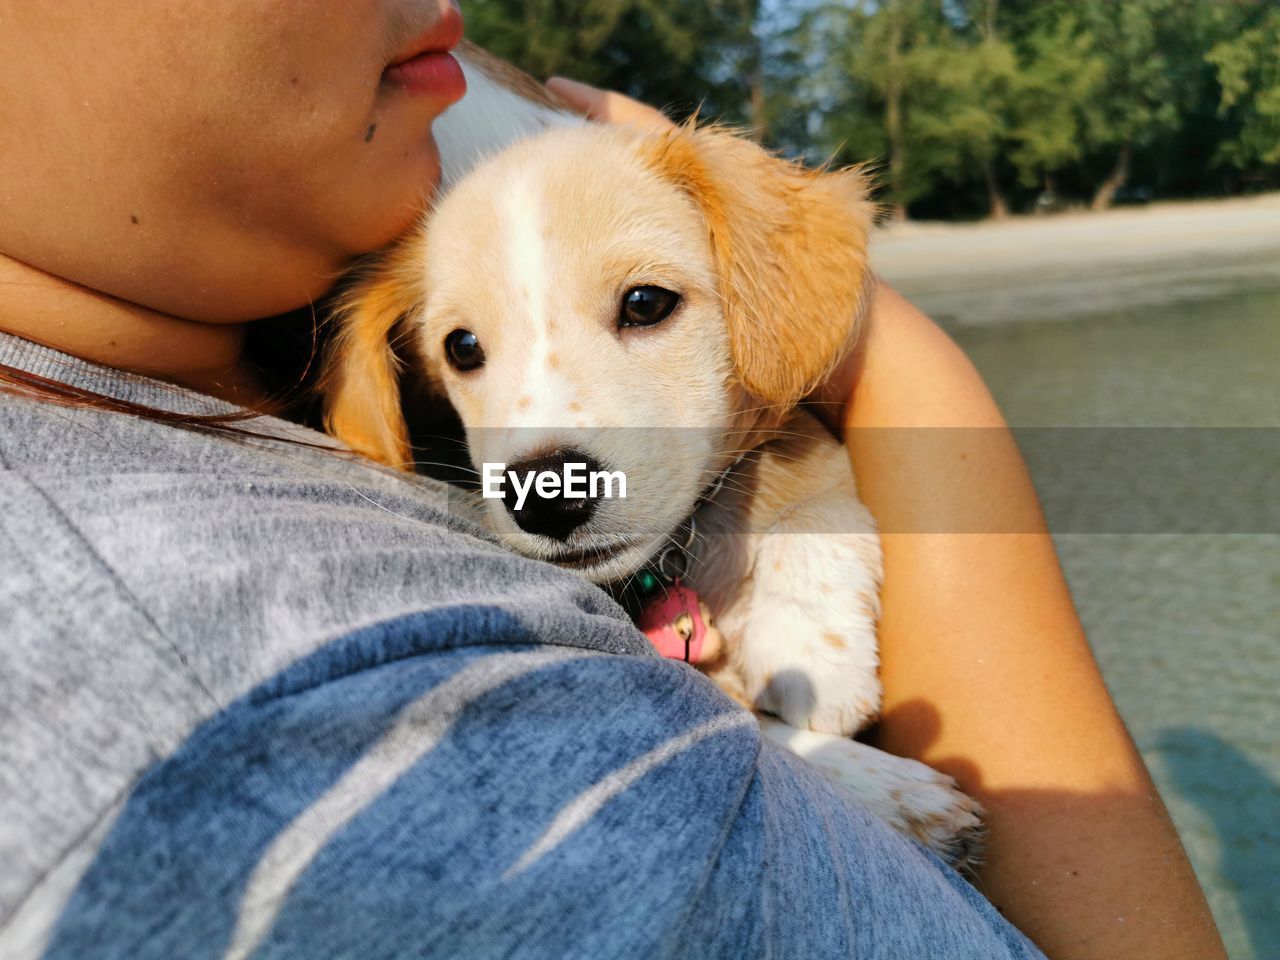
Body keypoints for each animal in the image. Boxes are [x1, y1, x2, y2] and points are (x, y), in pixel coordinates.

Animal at [320, 45, 977, 870]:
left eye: (645, 303)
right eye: (462, 347)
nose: (545, 493)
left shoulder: (794, 430)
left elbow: (810, 486)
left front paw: (815, 653)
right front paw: (887, 787)